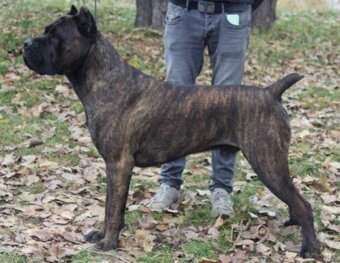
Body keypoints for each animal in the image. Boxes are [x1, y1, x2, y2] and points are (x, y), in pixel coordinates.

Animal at [22, 5, 320, 258]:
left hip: (268, 163)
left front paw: (108, 244)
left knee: (304, 204)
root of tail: (271, 92)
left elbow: (112, 208)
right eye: (47, 31)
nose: (26, 44)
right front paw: (102, 235)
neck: (105, 78)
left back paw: (310, 249)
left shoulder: (118, 164)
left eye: (55, 36)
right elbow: (110, 206)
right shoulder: (114, 167)